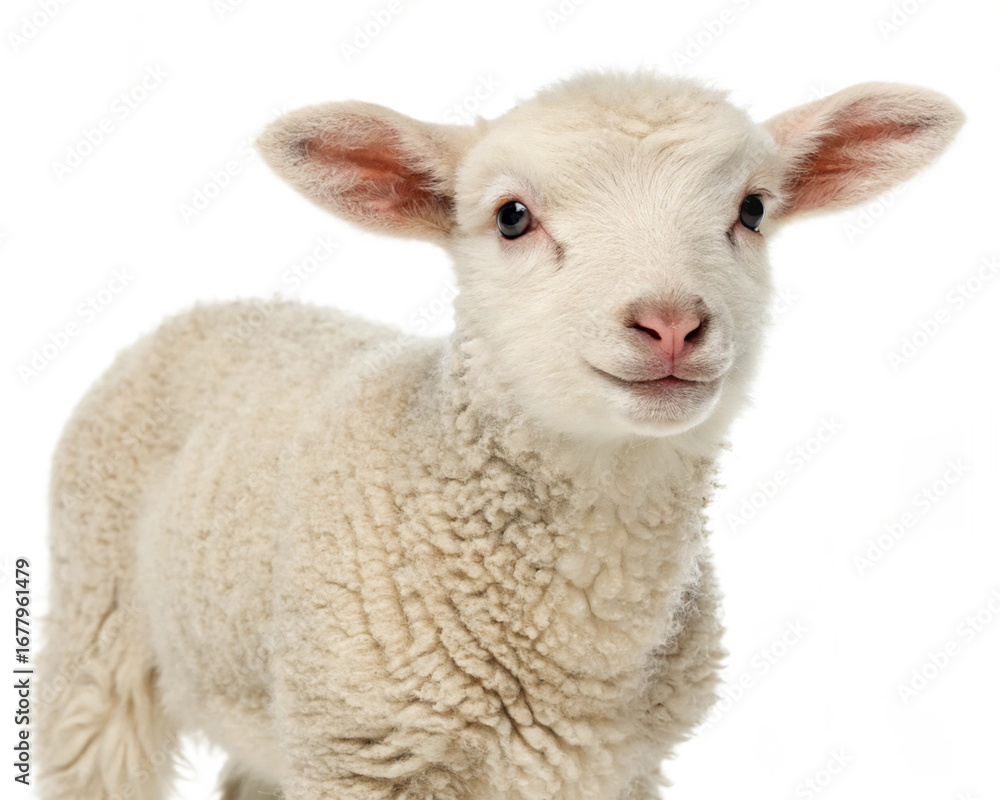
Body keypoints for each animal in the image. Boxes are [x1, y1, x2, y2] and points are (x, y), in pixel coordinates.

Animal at [36, 70, 963, 800]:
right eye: (512, 217)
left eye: (753, 209)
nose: (670, 323)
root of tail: (212, 305)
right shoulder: (360, 755)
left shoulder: (618, 768)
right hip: (97, 631)